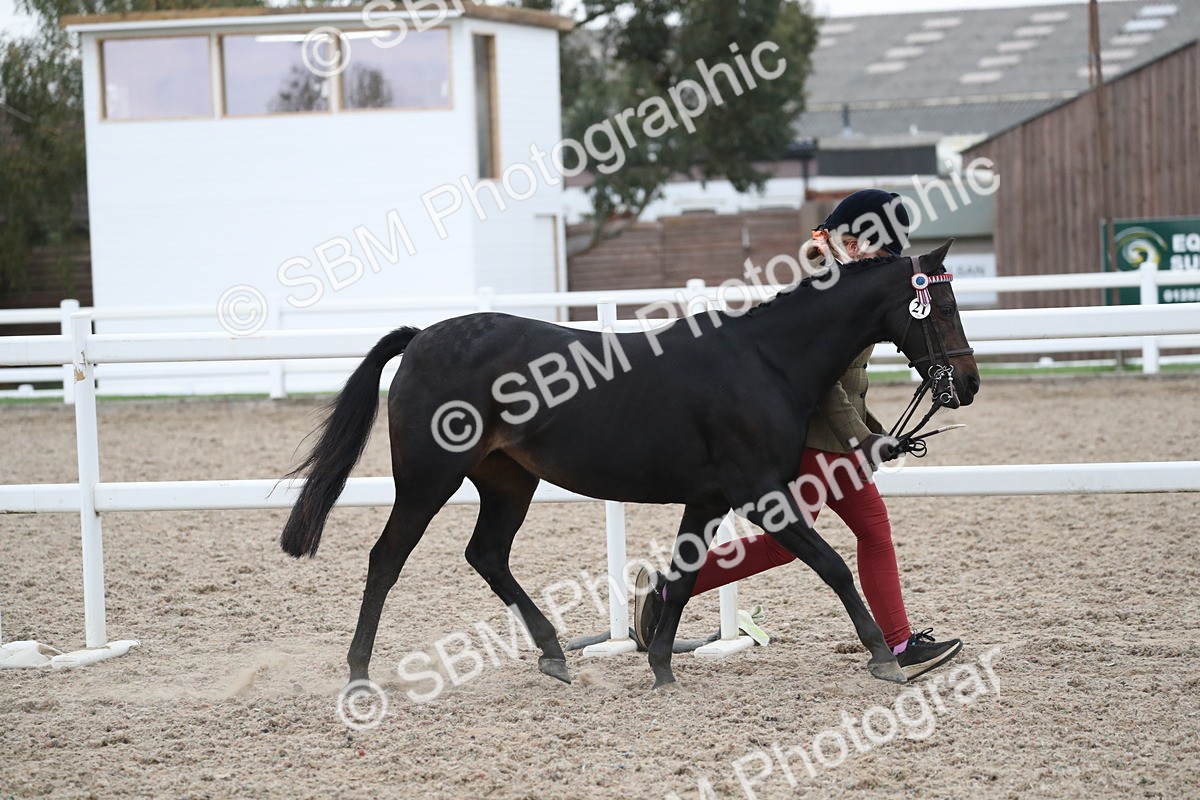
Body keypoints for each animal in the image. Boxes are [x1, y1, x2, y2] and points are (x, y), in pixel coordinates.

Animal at [280, 240, 980, 689]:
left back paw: (554, 654)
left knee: (487, 555)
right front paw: (884, 657)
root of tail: (422, 337)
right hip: (429, 481)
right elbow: (833, 565)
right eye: (941, 308)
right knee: (386, 559)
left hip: (509, 481)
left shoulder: (709, 498)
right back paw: (359, 673)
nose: (967, 383)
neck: (763, 360)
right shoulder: (761, 494)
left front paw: (661, 663)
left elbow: (684, 573)